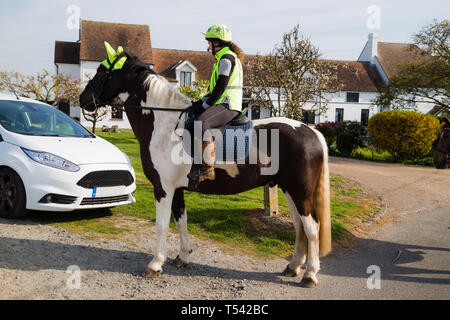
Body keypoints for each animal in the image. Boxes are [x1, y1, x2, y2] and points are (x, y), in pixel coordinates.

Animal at [79, 45, 330, 288]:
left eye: (101, 71)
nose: (83, 100)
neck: (166, 125)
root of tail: (311, 132)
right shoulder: (177, 189)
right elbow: (181, 221)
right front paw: (183, 256)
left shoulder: (163, 188)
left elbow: (162, 225)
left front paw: (155, 264)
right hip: (290, 190)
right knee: (299, 227)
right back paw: (294, 267)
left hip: (300, 192)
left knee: (311, 228)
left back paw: (310, 275)